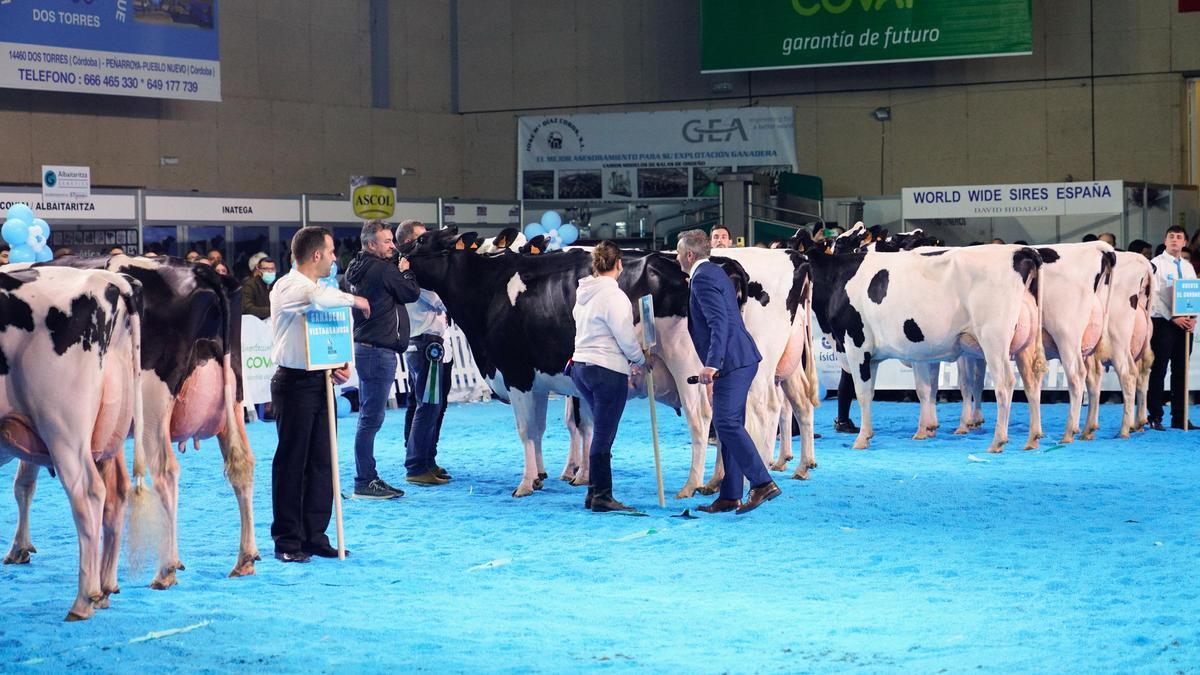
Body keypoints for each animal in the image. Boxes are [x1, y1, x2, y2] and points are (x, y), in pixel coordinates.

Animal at [0, 264, 154, 619]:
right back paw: (106, 589)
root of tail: (110, 280)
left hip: (62, 426)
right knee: (116, 492)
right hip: (108, 429)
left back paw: (85, 598)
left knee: (88, 492)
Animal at [7, 254, 256, 586]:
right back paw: (245, 558)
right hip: (232, 397)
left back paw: (166, 568)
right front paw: (20, 547)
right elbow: (25, 481)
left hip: (152, 408)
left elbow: (23, 482)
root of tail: (202, 271)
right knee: (241, 465)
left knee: (166, 473)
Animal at [403, 225, 710, 494]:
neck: (488, 289)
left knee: (700, 418)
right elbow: (544, 428)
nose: (397, 257)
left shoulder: (517, 374)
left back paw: (691, 486)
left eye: (421, 241)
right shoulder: (539, 381)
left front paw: (527, 484)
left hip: (685, 362)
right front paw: (543, 476)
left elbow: (529, 429)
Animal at [796, 225, 1041, 451]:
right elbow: (895, 391)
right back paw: (1033, 439)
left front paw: (862, 438)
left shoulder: (857, 345)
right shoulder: (879, 355)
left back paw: (998, 440)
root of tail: (1020, 252)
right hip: (1025, 344)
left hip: (994, 340)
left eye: (840, 241)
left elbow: (864, 393)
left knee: (1004, 384)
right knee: (1031, 381)